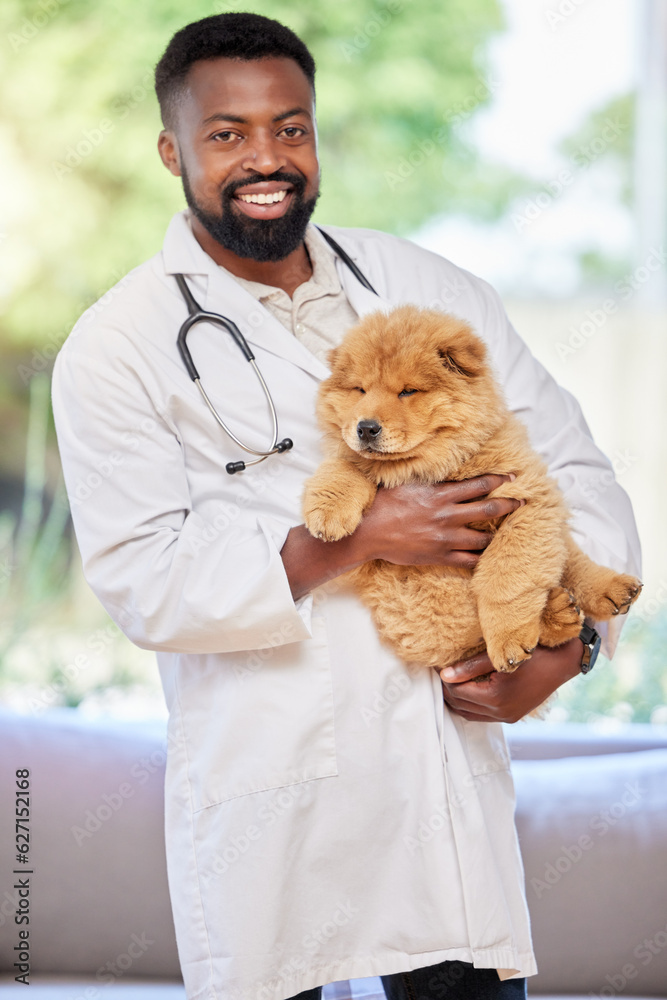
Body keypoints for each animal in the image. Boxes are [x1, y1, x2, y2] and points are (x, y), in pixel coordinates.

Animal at [302, 306, 640, 672]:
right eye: (359, 390)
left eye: (408, 392)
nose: (365, 428)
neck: (439, 463)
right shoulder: (366, 560)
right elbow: (346, 466)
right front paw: (328, 513)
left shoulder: (527, 498)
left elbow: (505, 574)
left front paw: (508, 639)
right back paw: (559, 613)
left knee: (570, 560)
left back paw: (609, 590)